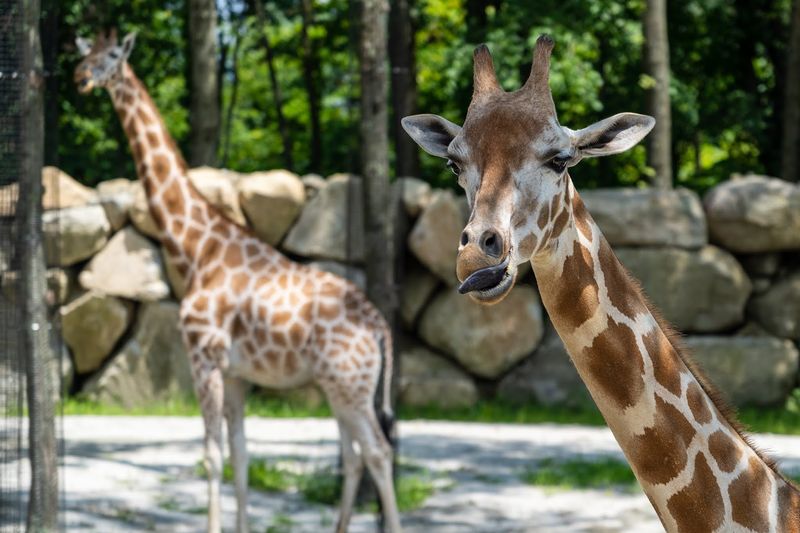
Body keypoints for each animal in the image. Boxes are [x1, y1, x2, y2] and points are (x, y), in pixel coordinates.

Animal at [74, 30, 402, 533]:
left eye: (110, 56)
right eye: (84, 53)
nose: (81, 77)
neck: (196, 249)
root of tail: (380, 327)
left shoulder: (203, 358)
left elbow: (211, 456)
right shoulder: (236, 375)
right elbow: (241, 456)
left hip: (349, 386)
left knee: (378, 452)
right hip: (339, 386)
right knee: (355, 455)